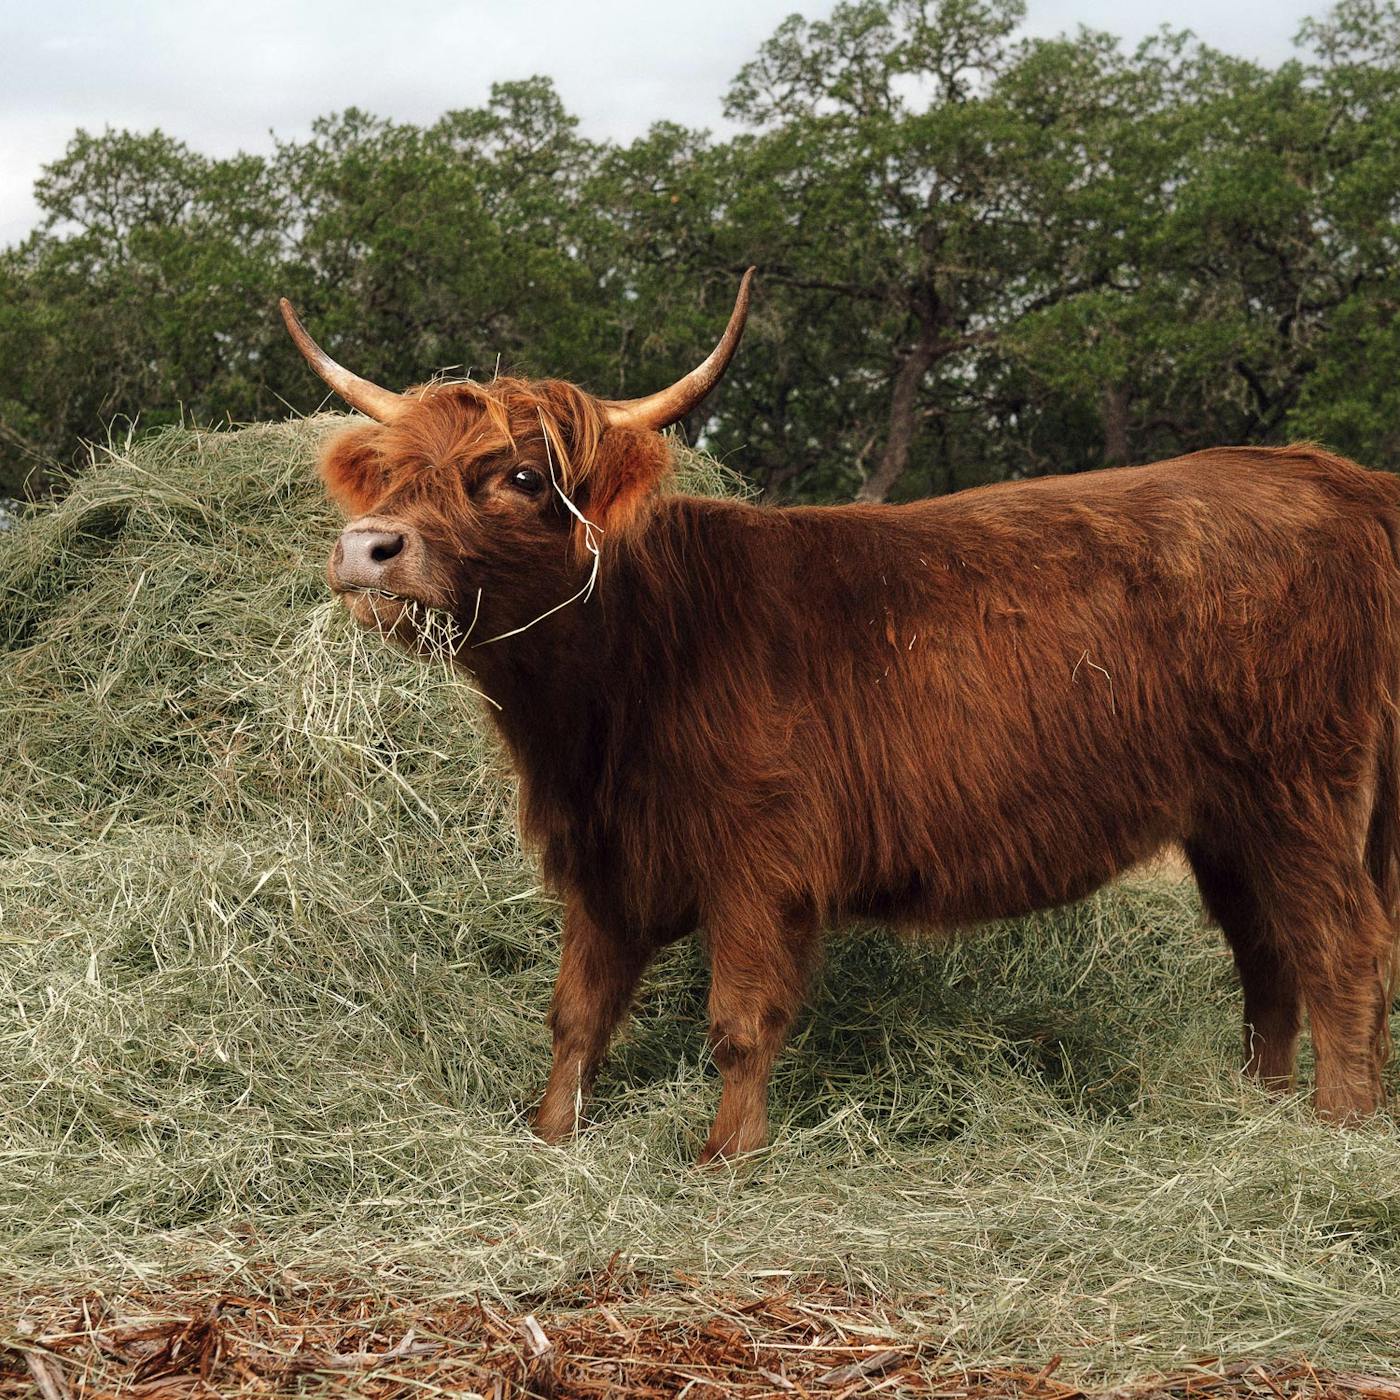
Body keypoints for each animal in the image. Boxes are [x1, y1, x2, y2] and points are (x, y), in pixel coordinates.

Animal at [281, 272, 1399, 1161]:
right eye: (389, 473)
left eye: (516, 476)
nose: (369, 546)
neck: (617, 685)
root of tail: (1331, 476)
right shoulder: (603, 857)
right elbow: (576, 1013)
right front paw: (551, 1133)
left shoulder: (761, 860)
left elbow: (739, 1017)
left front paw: (726, 1153)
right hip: (1226, 817)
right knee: (1267, 954)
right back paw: (1260, 1108)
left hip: (1300, 791)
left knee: (1342, 944)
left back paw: (1332, 1128)